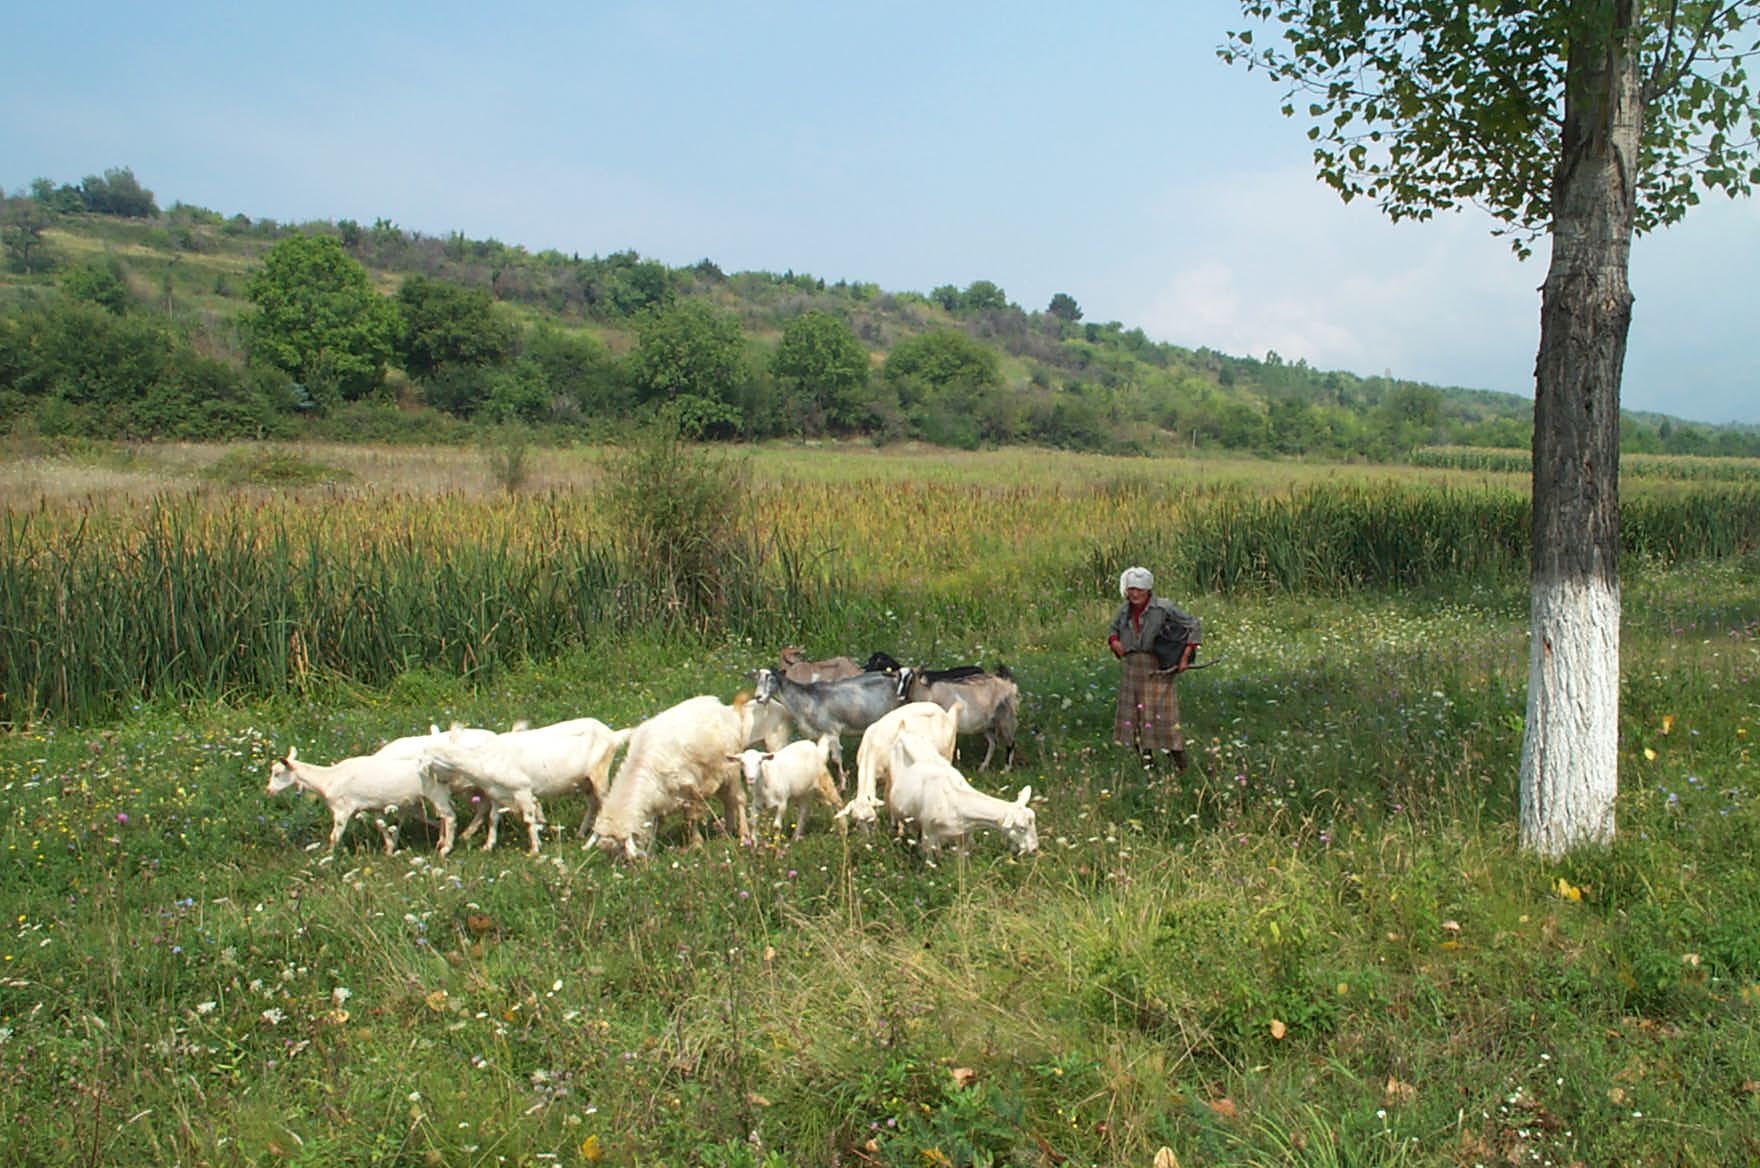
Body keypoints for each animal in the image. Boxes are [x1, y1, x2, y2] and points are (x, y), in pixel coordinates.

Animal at [264, 742, 454, 854]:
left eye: (277, 773)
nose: (269, 791)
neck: (328, 779)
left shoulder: (342, 809)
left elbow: (334, 836)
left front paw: (328, 858)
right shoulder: (375, 807)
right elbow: (381, 826)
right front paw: (389, 850)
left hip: (435, 792)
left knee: (449, 816)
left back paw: (446, 847)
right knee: (439, 815)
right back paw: (441, 839)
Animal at [411, 717, 633, 854]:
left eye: (428, 758)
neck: (483, 760)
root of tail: (612, 735)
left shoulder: (522, 790)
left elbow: (528, 819)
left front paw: (535, 848)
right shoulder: (496, 794)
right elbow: (493, 818)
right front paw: (488, 846)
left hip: (599, 772)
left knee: (605, 803)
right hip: (585, 780)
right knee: (593, 804)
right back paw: (580, 833)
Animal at [587, 689, 788, 861]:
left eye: (621, 848)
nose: (626, 869)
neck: (641, 764)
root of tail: (726, 709)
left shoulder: (690, 789)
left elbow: (691, 817)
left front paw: (696, 844)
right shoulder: (660, 797)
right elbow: (656, 824)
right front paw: (652, 849)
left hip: (730, 770)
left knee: (738, 799)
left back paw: (742, 834)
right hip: (718, 775)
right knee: (727, 801)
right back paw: (727, 831)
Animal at [837, 696, 964, 826]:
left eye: (871, 821)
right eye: (856, 821)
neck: (872, 746)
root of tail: (945, 713)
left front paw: (895, 823)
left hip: (947, 752)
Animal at [887, 731, 1034, 858]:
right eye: (1021, 827)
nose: (1034, 849)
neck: (956, 801)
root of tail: (904, 734)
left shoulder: (963, 835)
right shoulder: (928, 834)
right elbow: (930, 859)